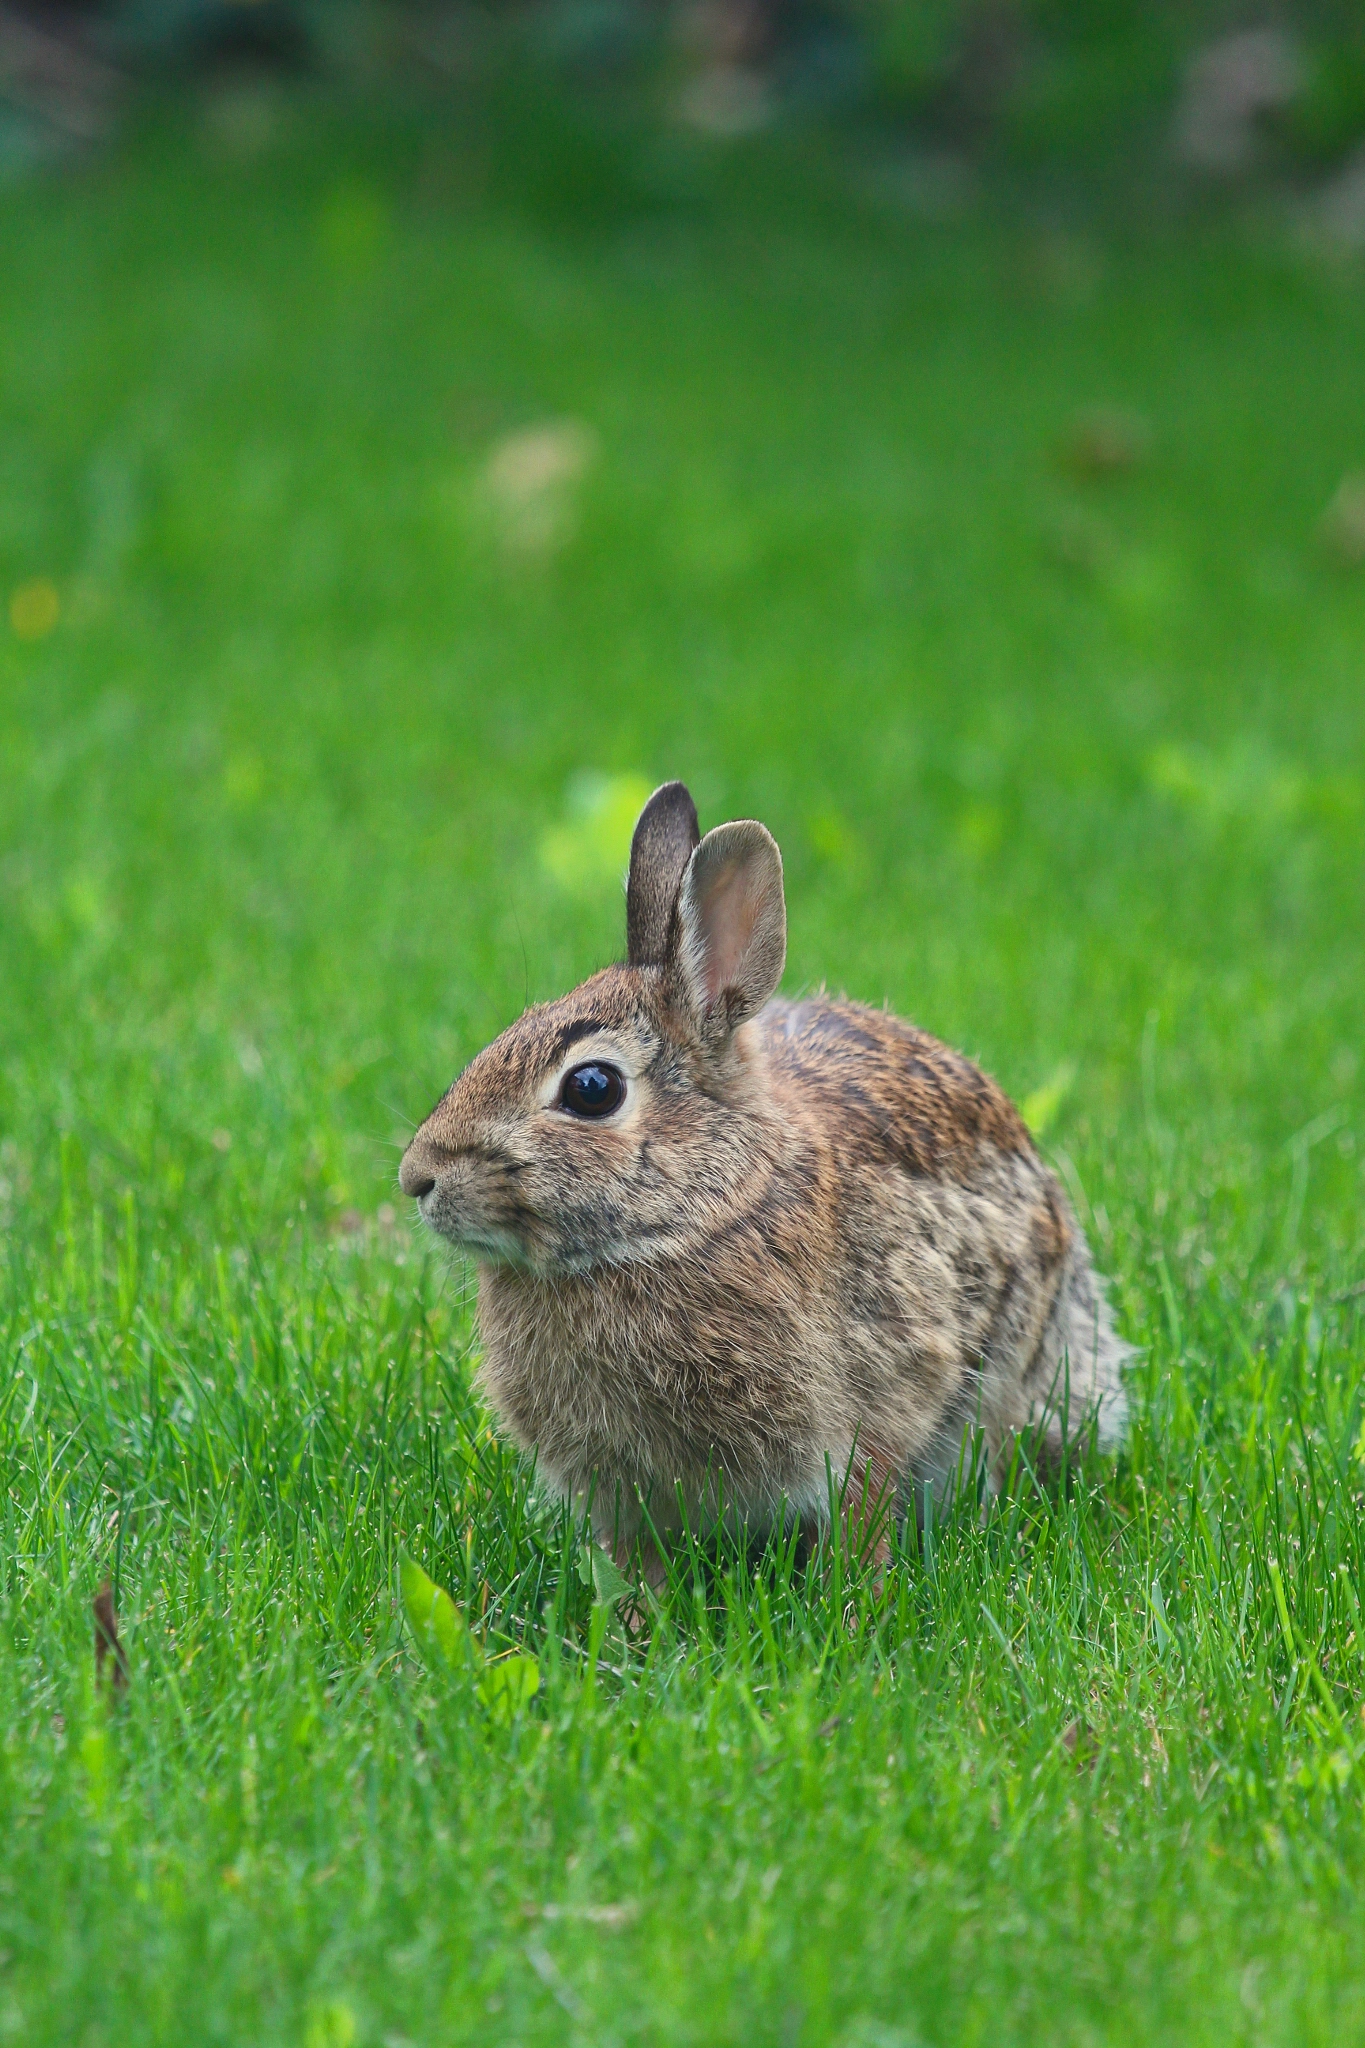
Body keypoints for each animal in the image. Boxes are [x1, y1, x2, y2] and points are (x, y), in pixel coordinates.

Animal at [399, 780, 1129, 1577]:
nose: (417, 1178)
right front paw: (636, 1614)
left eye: (592, 1089)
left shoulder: (874, 1409)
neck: (693, 1220)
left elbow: (863, 1511)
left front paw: (852, 1602)